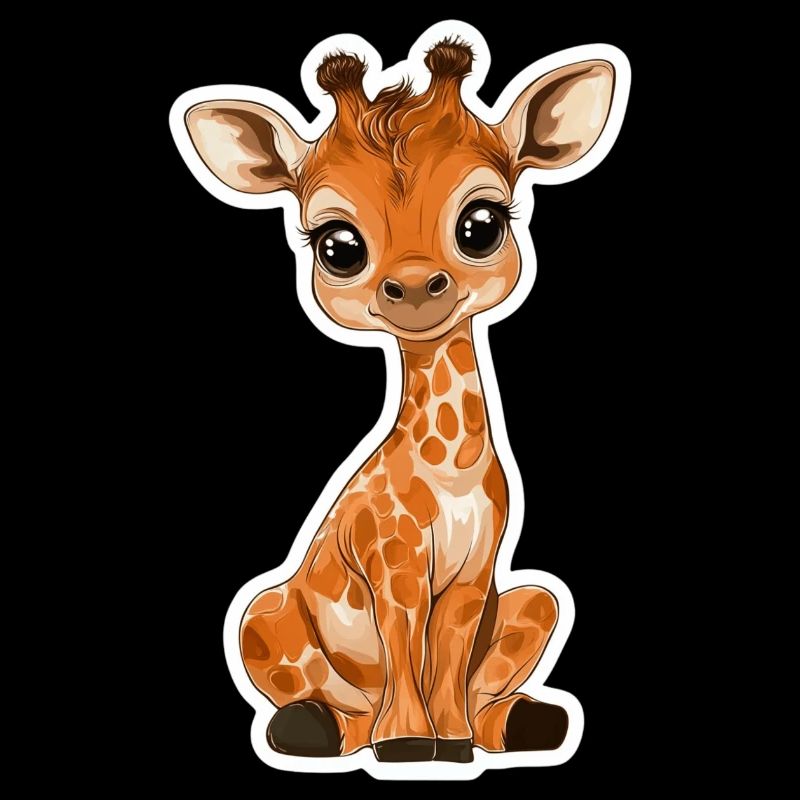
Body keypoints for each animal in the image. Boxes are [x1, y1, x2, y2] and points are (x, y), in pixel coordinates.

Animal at [175, 34, 624, 765]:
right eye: (337, 245)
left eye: (482, 224)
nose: (414, 287)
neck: (450, 469)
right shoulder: (393, 562)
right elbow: (402, 640)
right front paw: (411, 744)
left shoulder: (476, 571)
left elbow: (448, 654)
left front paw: (454, 743)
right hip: (260, 617)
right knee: (341, 704)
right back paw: (317, 728)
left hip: (535, 600)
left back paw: (526, 725)